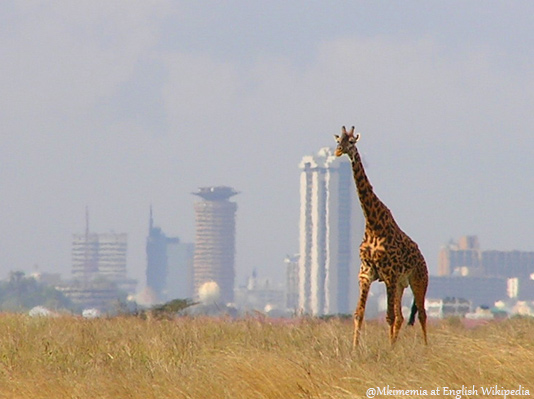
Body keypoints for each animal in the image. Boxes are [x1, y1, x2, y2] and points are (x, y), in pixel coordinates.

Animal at [336, 126, 432, 346]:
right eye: (338, 140)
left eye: (352, 142)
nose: (338, 151)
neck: (373, 224)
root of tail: (422, 257)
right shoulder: (366, 273)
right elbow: (359, 314)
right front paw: (355, 349)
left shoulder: (389, 273)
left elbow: (388, 316)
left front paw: (388, 350)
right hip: (400, 284)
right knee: (402, 316)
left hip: (418, 279)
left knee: (422, 314)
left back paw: (425, 348)